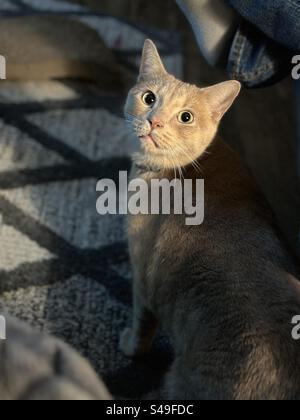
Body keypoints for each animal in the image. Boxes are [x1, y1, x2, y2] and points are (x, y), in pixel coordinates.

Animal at [119, 39, 300, 400]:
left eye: (185, 117)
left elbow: (141, 328)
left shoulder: (142, 278)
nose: (155, 122)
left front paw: (129, 346)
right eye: (149, 98)